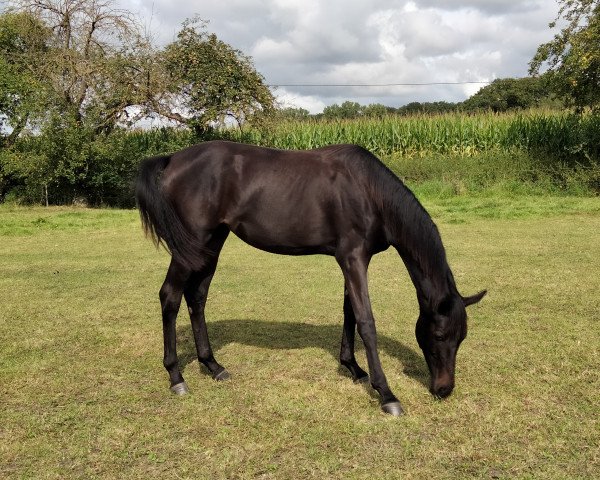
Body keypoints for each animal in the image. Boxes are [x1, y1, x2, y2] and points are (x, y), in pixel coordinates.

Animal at [134, 140, 486, 416]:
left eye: (462, 337)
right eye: (439, 335)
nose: (444, 389)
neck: (368, 191)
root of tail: (172, 159)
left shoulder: (353, 260)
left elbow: (349, 313)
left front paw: (353, 367)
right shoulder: (353, 258)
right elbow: (366, 321)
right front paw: (386, 393)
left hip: (210, 242)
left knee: (197, 296)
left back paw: (213, 366)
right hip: (190, 244)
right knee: (170, 296)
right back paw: (177, 377)